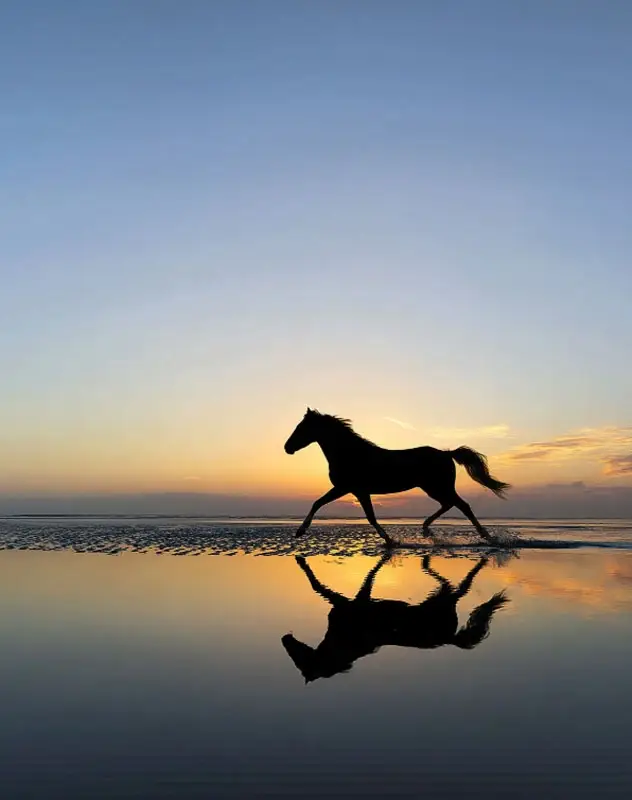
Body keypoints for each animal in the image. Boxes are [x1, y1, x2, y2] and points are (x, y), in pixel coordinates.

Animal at [282, 554, 509, 682]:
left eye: (300, 663)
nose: (285, 638)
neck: (345, 641)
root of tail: (449, 639)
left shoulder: (347, 601)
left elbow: (317, 585)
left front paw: (300, 560)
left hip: (446, 598)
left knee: (463, 586)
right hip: (441, 596)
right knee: (450, 583)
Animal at [284, 408, 510, 546]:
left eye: (301, 428)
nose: (287, 448)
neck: (350, 453)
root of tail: (446, 454)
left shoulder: (348, 489)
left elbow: (321, 504)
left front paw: (300, 531)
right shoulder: (356, 491)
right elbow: (366, 516)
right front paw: (390, 541)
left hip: (440, 486)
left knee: (462, 506)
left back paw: (487, 537)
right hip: (431, 488)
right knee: (448, 504)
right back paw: (426, 527)